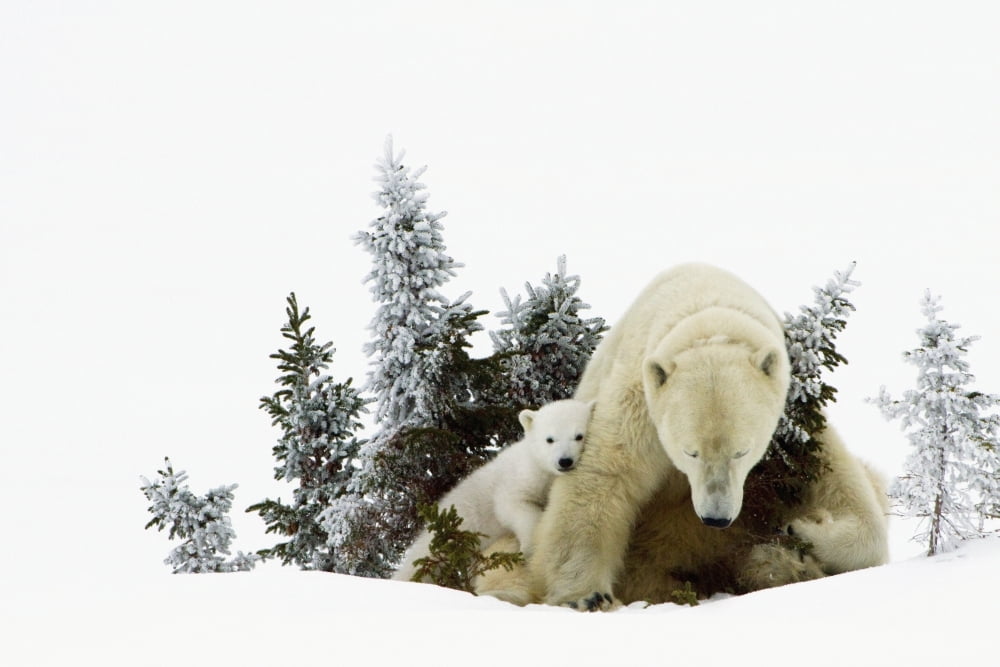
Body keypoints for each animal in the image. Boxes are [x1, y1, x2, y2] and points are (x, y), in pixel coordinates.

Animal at [392, 398, 595, 583]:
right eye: (550, 439)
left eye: (579, 436)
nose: (564, 461)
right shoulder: (519, 478)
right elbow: (511, 505)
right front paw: (529, 547)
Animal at [474, 263, 889, 609]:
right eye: (689, 452)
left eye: (742, 451)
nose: (716, 518)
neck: (707, 312)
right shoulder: (642, 401)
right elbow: (604, 476)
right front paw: (585, 594)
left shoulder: (795, 428)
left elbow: (843, 490)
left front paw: (801, 528)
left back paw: (783, 562)